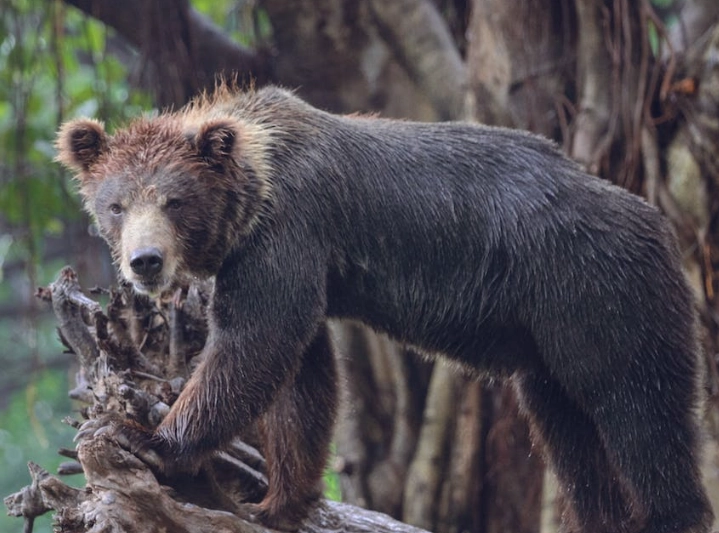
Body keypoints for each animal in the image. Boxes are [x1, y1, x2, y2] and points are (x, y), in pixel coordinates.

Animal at [56, 85, 713, 533]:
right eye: (116, 204)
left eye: (174, 201)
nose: (144, 261)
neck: (252, 193)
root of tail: (657, 221)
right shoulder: (293, 262)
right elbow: (304, 377)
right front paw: (277, 499)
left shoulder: (286, 237)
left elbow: (254, 347)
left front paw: (153, 438)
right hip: (548, 341)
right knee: (569, 430)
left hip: (596, 292)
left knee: (636, 407)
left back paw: (669, 515)